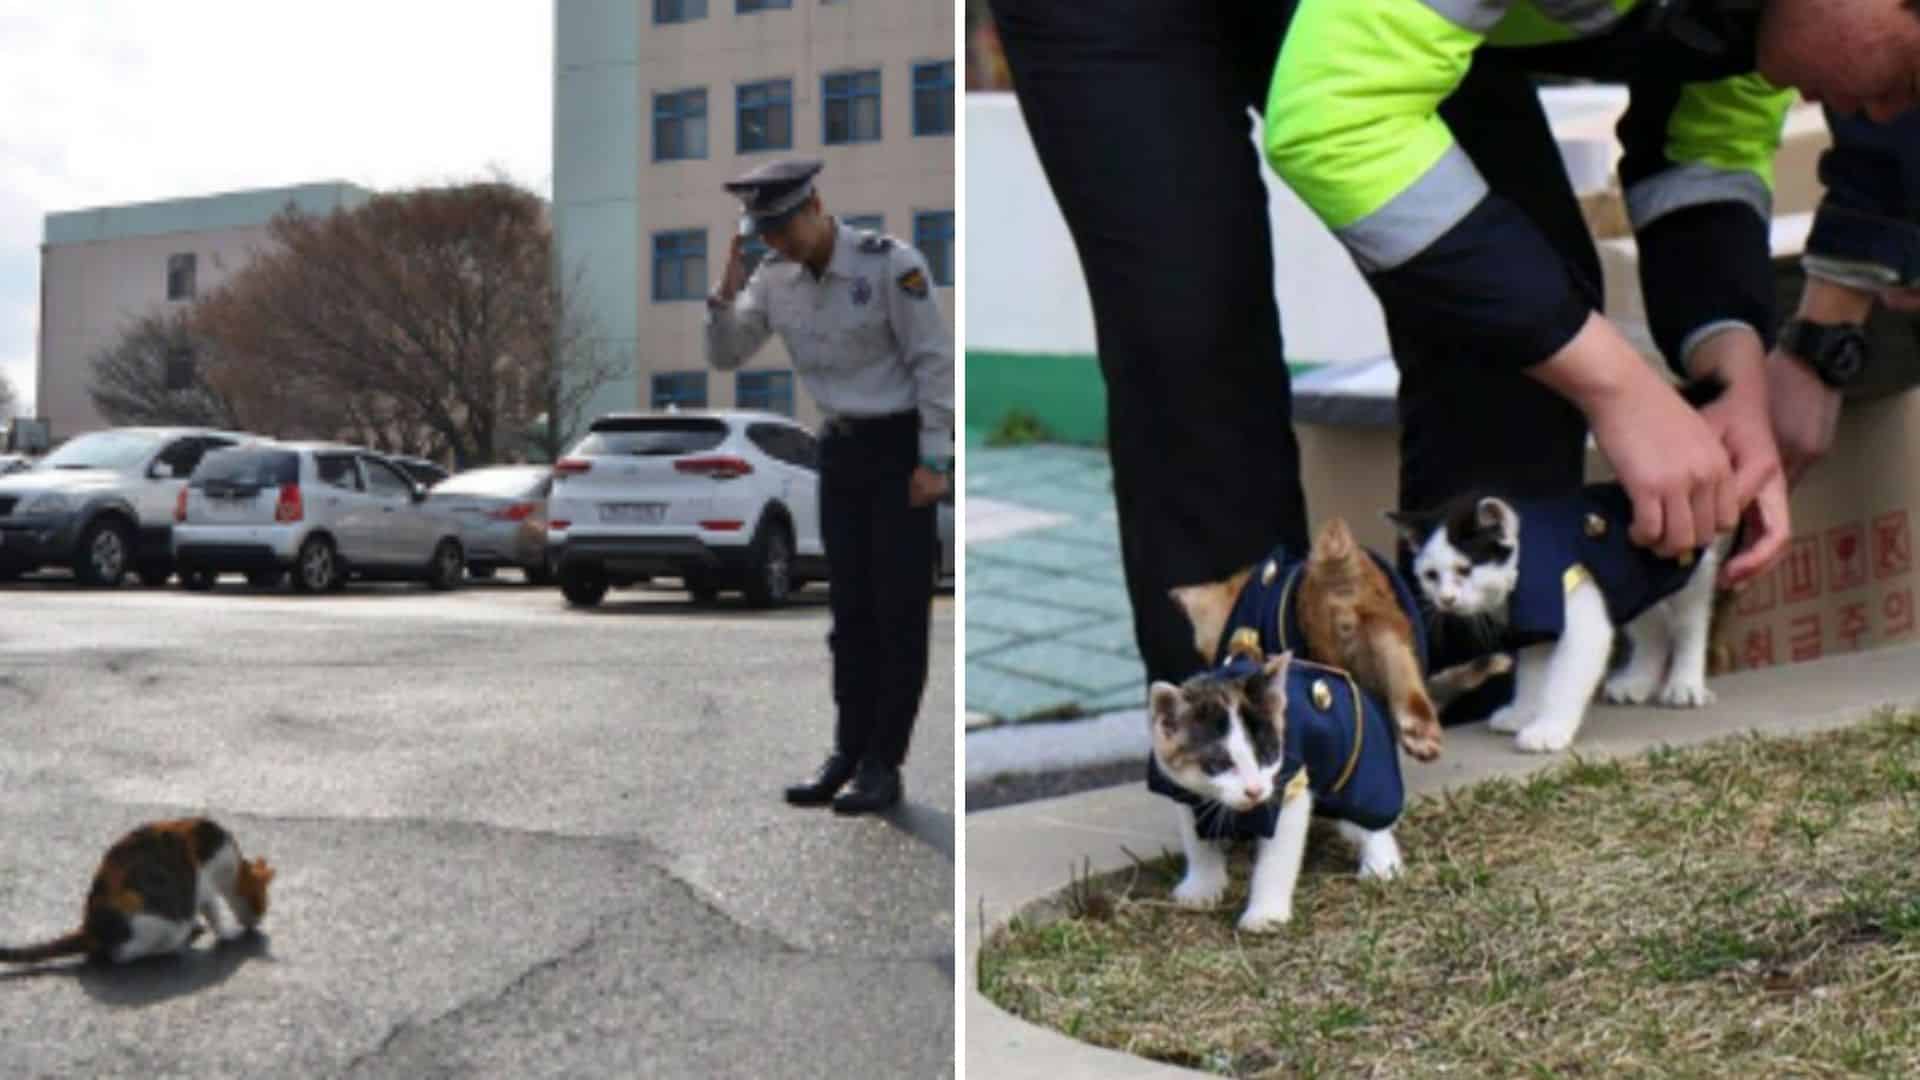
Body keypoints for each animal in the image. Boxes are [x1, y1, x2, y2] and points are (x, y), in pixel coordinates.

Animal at [0, 814, 274, 968]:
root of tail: (90, 928)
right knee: (123, 955)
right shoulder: (205, 884)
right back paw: (176, 945)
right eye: (260, 902)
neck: (234, 863)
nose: (258, 922)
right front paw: (227, 934)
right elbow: (214, 912)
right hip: (161, 922)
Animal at [1144, 641, 1405, 930]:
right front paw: (1202, 886)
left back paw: (1381, 862)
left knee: (1367, 816)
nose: (1254, 790)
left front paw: (1265, 914)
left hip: (1363, 764)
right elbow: (1197, 837)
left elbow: (1278, 857)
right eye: (1219, 764)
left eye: (1267, 755)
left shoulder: (1290, 786)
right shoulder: (1186, 792)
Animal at [1390, 484, 1735, 753]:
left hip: (1687, 573)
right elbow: (1533, 673)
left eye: (1465, 569)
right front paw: (1525, 712)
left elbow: (1564, 680)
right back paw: (1637, 681)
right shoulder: (1537, 624)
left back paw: (1685, 685)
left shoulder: (1580, 623)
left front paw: (1549, 729)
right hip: (1631, 585)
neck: (1526, 562)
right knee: (1655, 629)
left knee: (1690, 624)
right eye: (1431, 576)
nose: (1445, 600)